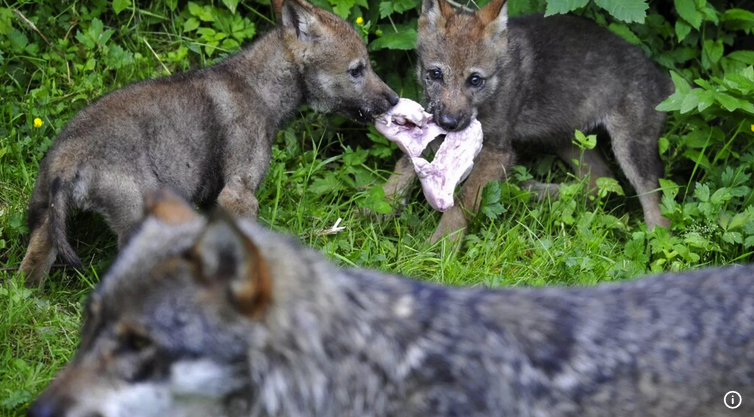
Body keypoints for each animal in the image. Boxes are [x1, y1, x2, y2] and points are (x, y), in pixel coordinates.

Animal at [19, 0, 400, 284]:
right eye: (357, 70)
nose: (395, 99)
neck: (259, 87)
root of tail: (68, 159)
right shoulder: (239, 192)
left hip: (46, 221)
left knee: (30, 271)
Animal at [384, 0, 668, 242]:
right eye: (435, 74)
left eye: (475, 80)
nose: (449, 123)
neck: (496, 85)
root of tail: (663, 78)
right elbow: (400, 173)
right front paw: (377, 213)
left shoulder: (498, 152)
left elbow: (462, 204)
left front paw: (440, 249)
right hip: (565, 139)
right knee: (598, 182)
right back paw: (531, 190)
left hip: (630, 150)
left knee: (656, 209)